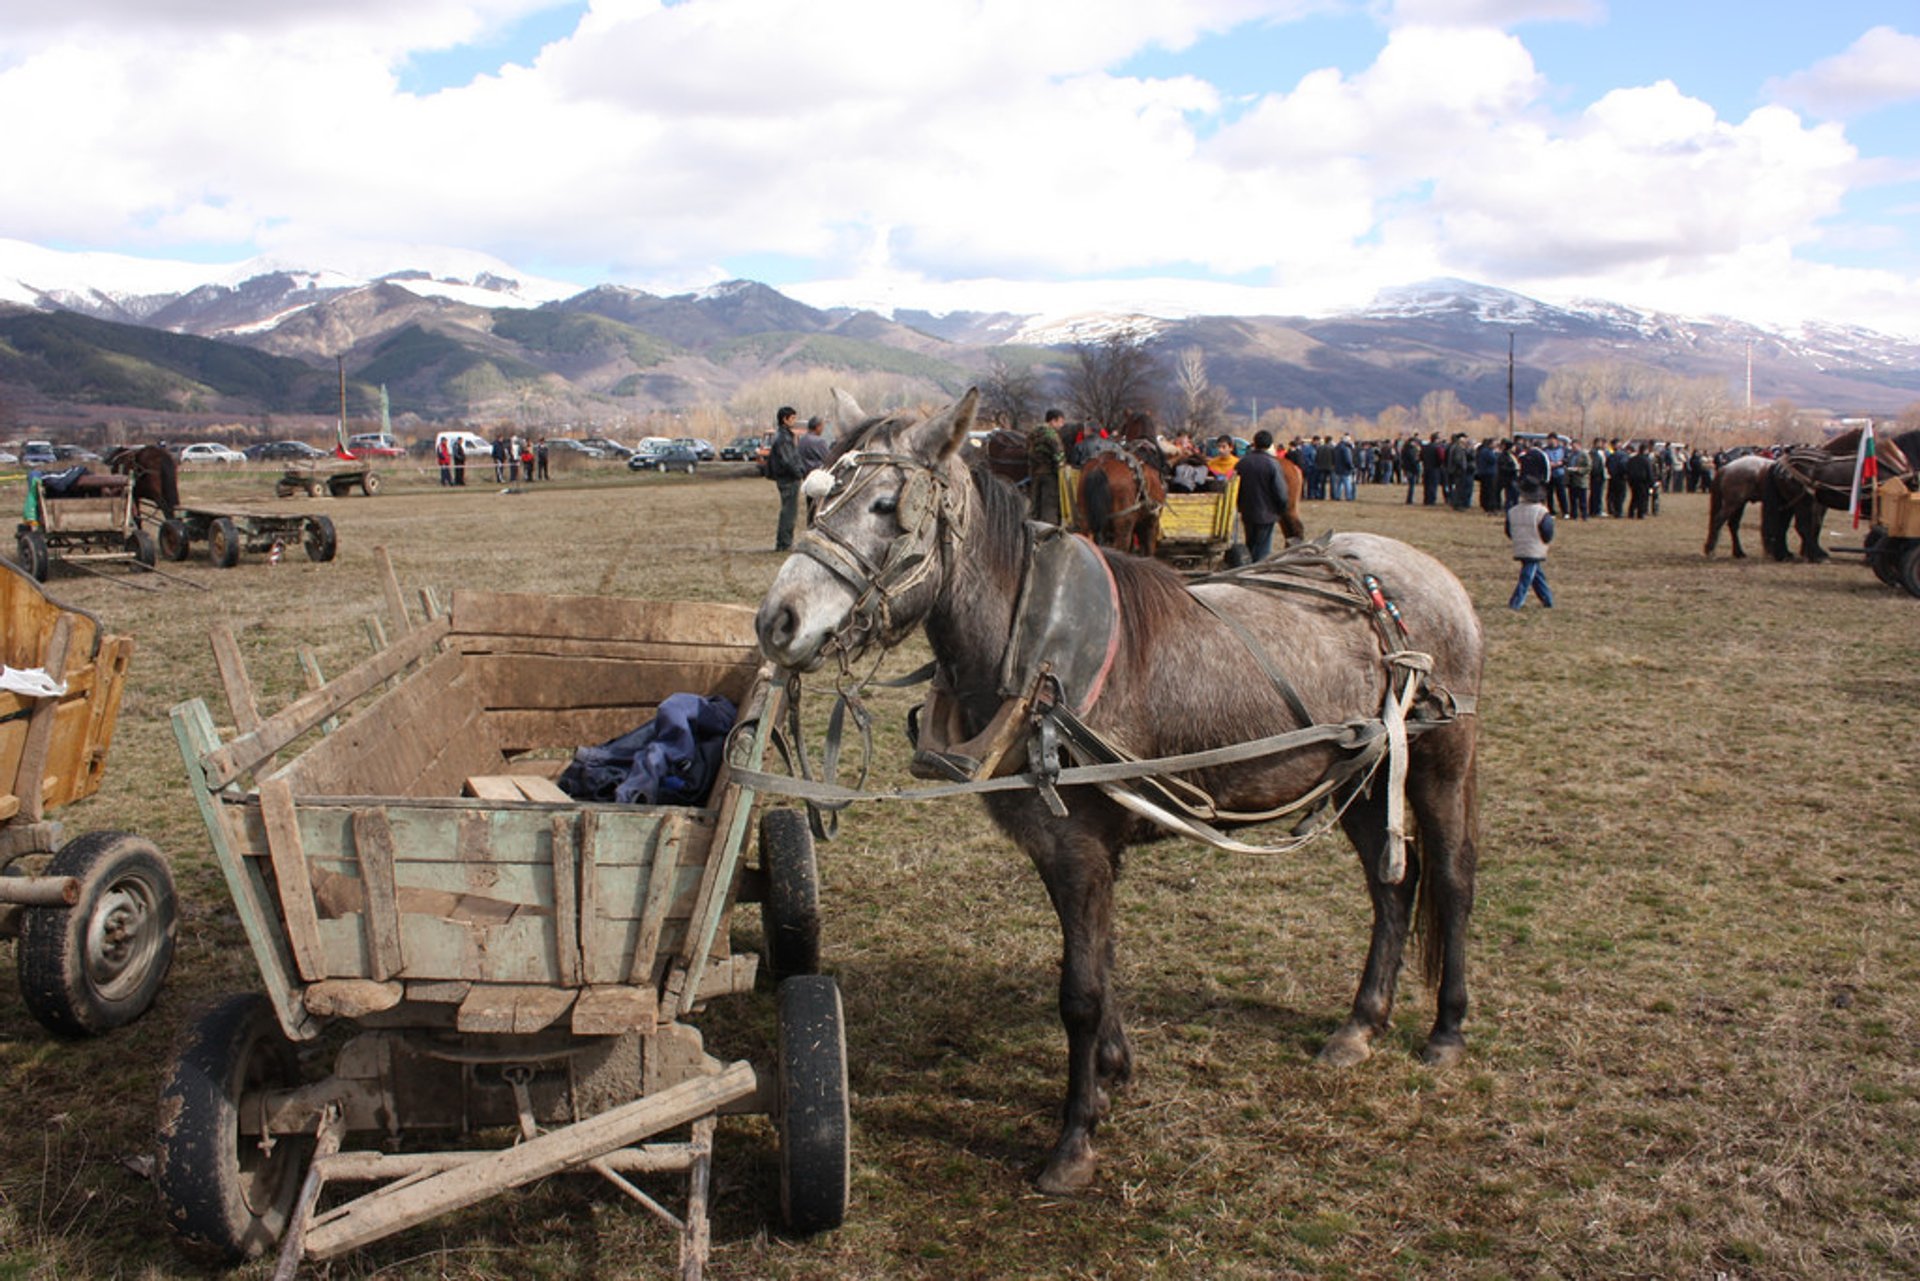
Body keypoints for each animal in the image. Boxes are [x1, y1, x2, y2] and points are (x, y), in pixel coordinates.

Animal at [760, 386, 1482, 1198]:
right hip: (1360, 774)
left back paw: (1446, 1028)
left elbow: (1078, 992)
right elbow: (1100, 965)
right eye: (816, 497)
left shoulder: (1078, 848)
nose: (777, 621)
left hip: (1441, 758)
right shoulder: (1064, 849)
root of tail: (1417, 572)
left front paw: (1076, 1138)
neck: (1036, 655)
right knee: (1393, 889)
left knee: (1450, 879)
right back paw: (1360, 1025)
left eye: (887, 505)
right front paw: (1112, 1071)